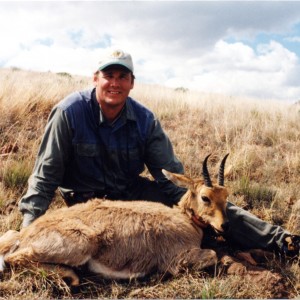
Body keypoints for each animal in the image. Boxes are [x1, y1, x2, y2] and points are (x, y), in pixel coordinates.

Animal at [0, 155, 230, 286]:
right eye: (205, 197)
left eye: (226, 195)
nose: (224, 225)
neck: (185, 220)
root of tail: (27, 233)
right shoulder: (176, 259)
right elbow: (212, 255)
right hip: (81, 244)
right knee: (14, 259)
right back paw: (72, 276)